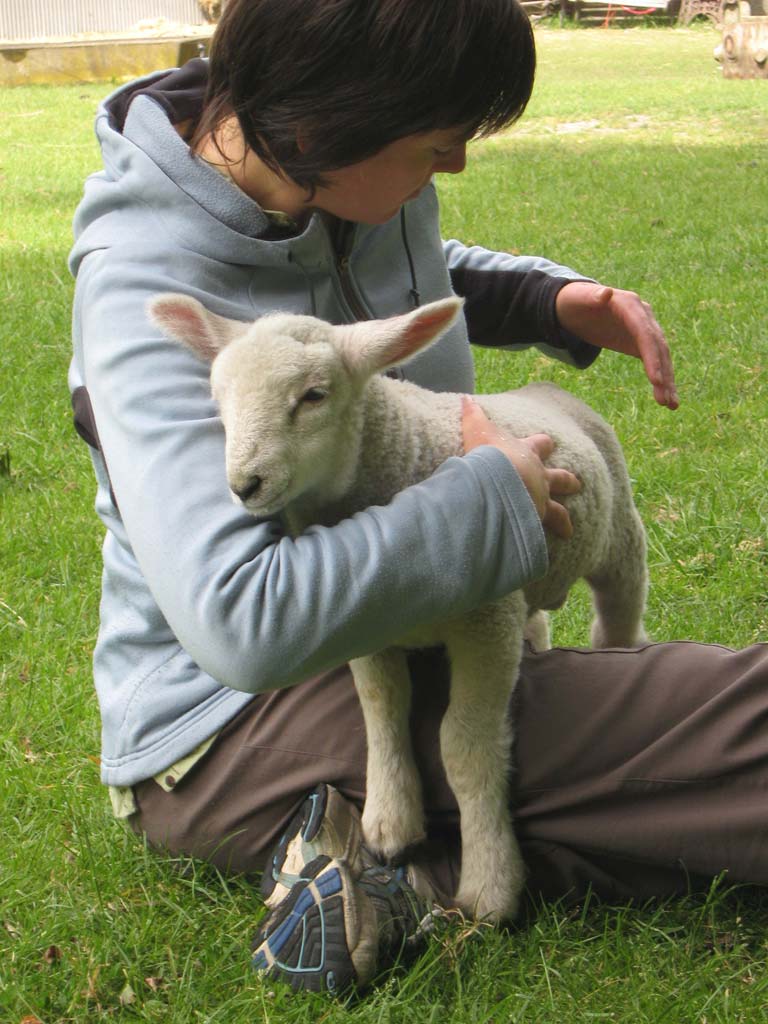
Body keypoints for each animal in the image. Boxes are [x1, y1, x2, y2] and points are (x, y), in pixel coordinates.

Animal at [148, 293, 648, 923]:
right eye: (218, 400)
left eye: (314, 395)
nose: (245, 485)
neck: (401, 454)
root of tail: (546, 388)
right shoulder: (364, 621)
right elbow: (381, 709)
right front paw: (389, 821)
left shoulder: (486, 623)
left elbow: (463, 745)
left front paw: (490, 884)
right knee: (538, 619)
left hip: (619, 538)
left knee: (619, 615)